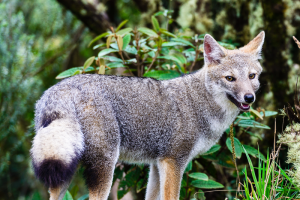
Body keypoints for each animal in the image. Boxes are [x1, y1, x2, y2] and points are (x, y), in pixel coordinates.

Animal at [29, 30, 264, 199]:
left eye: (252, 76)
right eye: (230, 78)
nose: (249, 98)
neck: (199, 102)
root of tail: (60, 89)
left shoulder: (157, 165)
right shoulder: (173, 162)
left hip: (63, 175)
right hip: (104, 168)